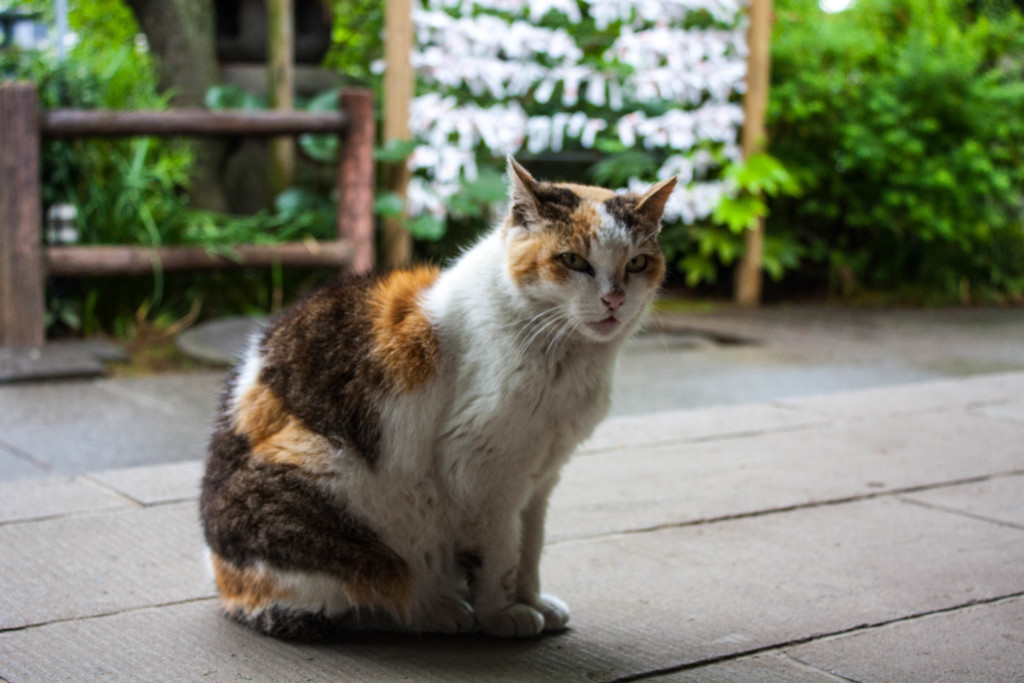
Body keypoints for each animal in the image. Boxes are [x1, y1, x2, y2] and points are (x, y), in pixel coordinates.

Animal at [200, 158, 679, 643]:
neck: (566, 359)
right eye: (573, 260)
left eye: (637, 263)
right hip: (325, 480)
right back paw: (437, 611)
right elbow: (500, 555)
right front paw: (503, 614)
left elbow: (529, 549)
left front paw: (533, 601)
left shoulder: (540, 478)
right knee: (365, 599)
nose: (614, 299)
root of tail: (225, 582)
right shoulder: (482, 473)